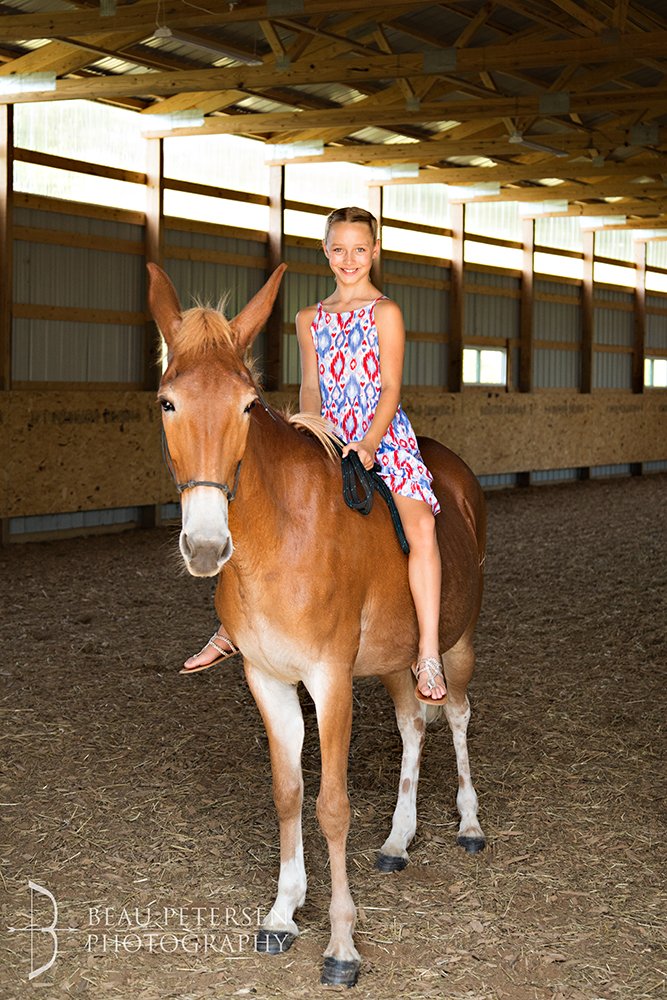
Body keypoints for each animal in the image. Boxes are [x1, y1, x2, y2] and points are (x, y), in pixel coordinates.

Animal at [148, 262, 487, 987]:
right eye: (167, 403)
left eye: (248, 406)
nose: (206, 545)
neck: (277, 536)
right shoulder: (266, 677)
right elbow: (288, 792)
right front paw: (283, 911)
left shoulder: (329, 679)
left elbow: (331, 804)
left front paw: (341, 945)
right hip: (395, 658)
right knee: (414, 724)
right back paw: (397, 839)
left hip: (454, 643)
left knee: (456, 714)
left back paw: (470, 824)